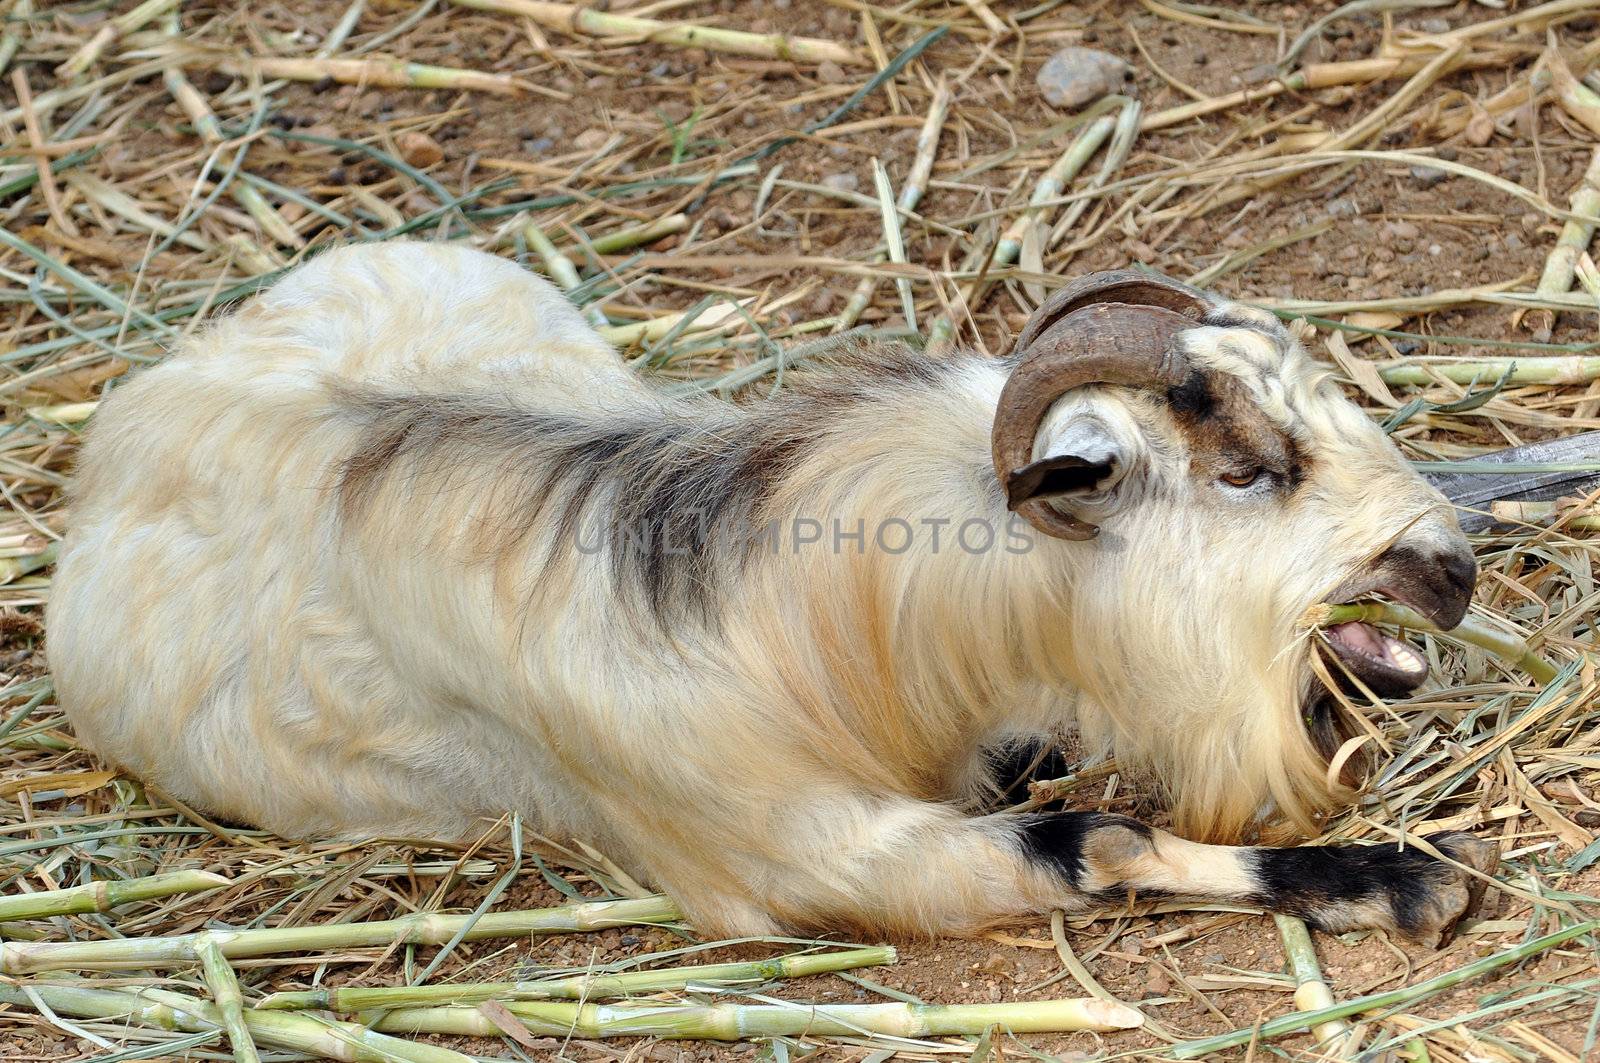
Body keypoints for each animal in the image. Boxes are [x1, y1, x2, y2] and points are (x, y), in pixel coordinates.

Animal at [53, 240, 1497, 941]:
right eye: (1247, 469)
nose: (1452, 570)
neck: (800, 618)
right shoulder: (792, 852)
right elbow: (1100, 841)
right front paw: (1395, 882)